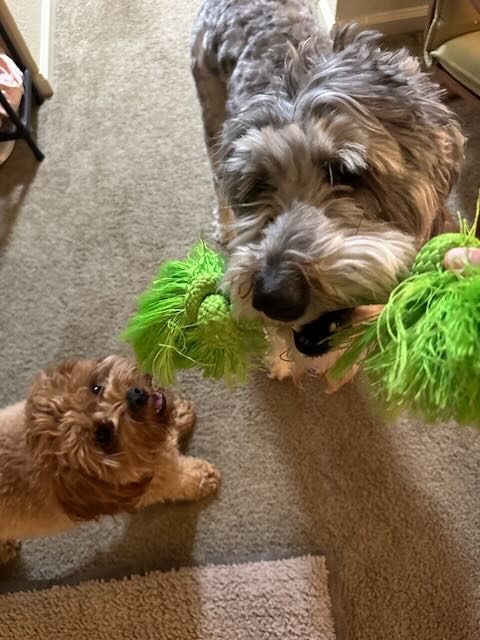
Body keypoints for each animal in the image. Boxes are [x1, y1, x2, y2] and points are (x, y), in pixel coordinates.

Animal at [0, 356, 220, 565]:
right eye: (103, 436)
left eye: (95, 389)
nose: (135, 395)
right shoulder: (154, 483)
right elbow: (182, 480)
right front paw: (203, 477)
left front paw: (181, 415)